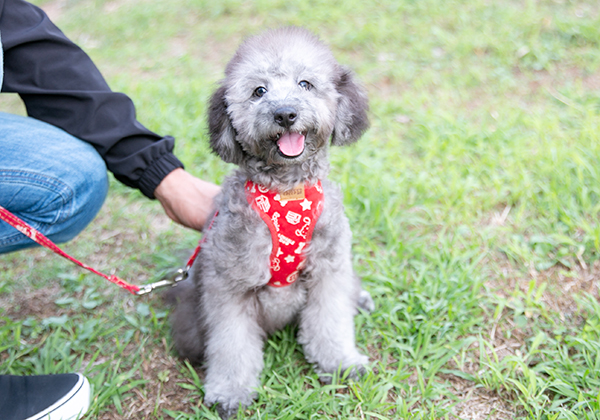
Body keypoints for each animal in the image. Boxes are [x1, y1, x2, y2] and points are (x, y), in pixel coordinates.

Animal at [169, 27, 372, 418]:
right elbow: (231, 345)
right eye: (258, 91)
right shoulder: (228, 286)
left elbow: (331, 323)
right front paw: (229, 392)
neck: (286, 192)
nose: (285, 113)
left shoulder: (329, 270)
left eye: (305, 83)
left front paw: (340, 363)